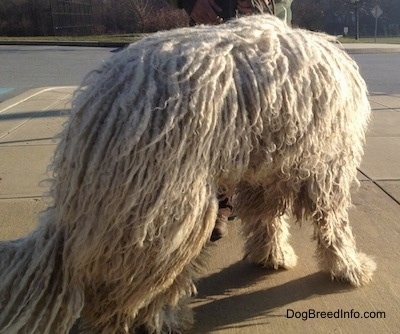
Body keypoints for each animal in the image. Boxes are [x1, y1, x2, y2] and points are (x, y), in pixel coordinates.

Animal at [0, 13, 376, 334]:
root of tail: (103, 103)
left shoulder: (265, 169)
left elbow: (266, 219)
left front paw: (272, 255)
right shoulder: (326, 168)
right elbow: (333, 225)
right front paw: (349, 267)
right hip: (168, 202)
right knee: (136, 285)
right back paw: (161, 319)